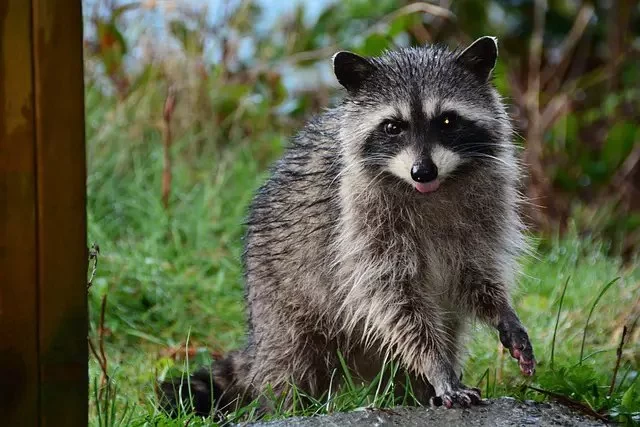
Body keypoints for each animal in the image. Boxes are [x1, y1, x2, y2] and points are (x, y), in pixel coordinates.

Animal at [159, 36, 536, 418]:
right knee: (289, 363)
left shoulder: (485, 210)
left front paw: (501, 311)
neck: (432, 191)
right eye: (392, 126)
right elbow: (395, 301)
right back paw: (283, 405)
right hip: (280, 302)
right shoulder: (360, 225)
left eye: (447, 120)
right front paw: (436, 365)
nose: (422, 171)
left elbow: (475, 273)